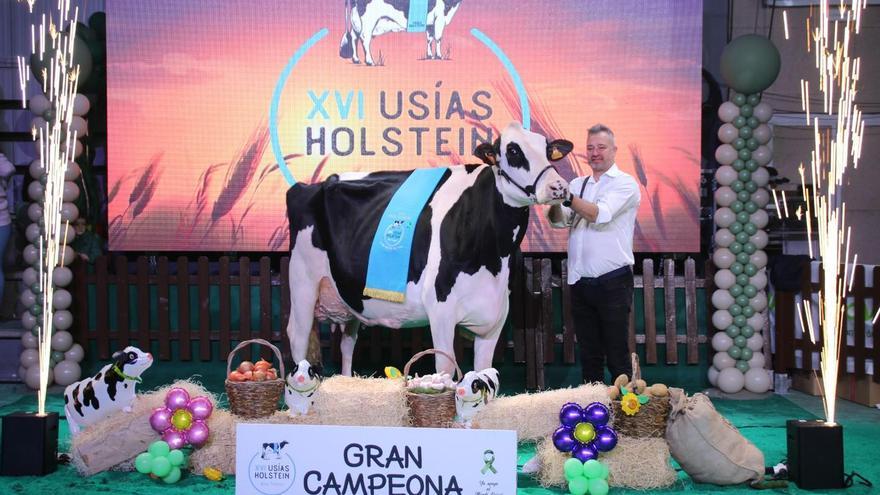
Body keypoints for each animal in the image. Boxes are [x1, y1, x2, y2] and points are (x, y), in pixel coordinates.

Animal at [288, 123, 572, 376]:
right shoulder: (441, 308)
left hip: (350, 295)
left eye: (547, 150)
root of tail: (312, 184)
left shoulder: (496, 315)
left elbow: (485, 373)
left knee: (347, 343)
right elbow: (445, 368)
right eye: (513, 151)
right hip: (303, 282)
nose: (559, 187)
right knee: (297, 336)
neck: (494, 255)